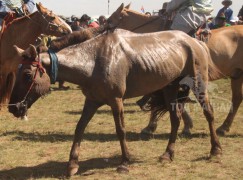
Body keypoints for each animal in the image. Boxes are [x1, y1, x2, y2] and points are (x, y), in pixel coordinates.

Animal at [9, 29, 222, 176]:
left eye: (27, 75)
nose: (13, 108)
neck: (92, 61)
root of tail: (195, 41)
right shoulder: (92, 101)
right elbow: (79, 128)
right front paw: (72, 164)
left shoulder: (116, 101)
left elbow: (121, 130)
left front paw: (125, 162)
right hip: (169, 87)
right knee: (175, 119)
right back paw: (168, 154)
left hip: (198, 84)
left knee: (209, 113)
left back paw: (215, 150)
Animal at [107, 2, 243, 135]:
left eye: (110, 20)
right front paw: (187, 125)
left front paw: (151, 126)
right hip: (237, 75)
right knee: (237, 98)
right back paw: (224, 127)